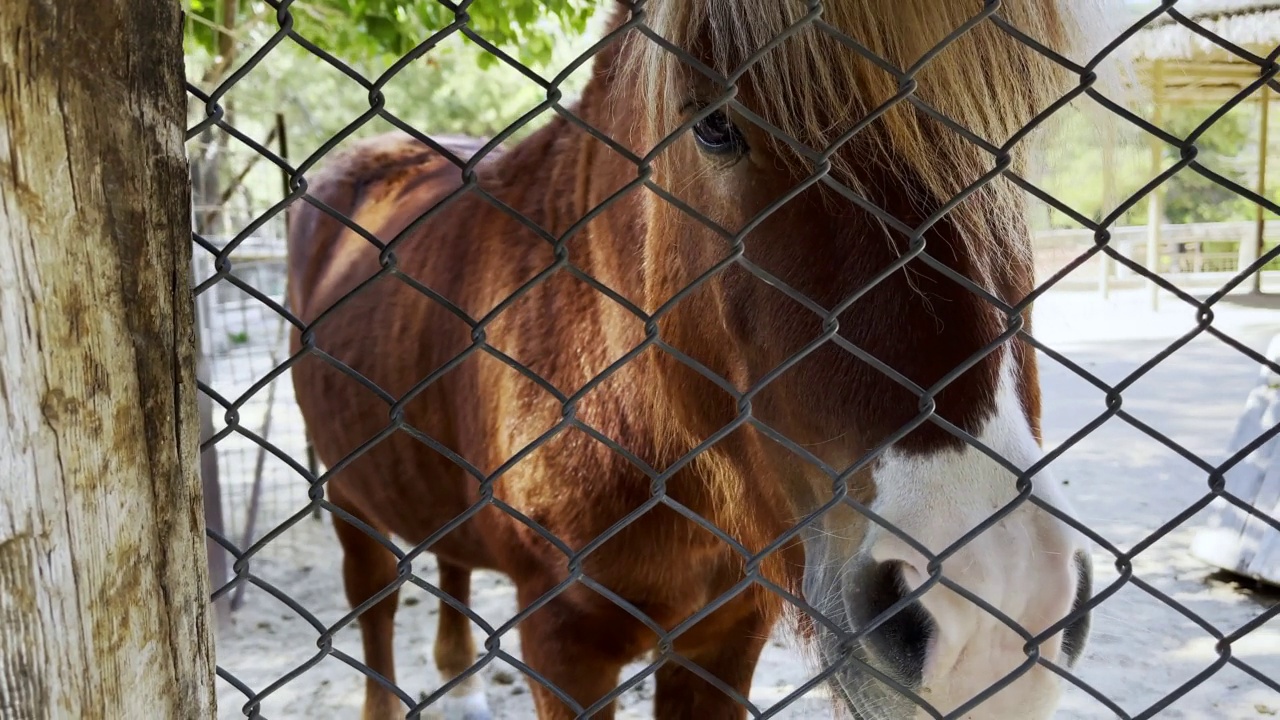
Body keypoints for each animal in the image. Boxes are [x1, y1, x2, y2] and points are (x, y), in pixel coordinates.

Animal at [285, 2, 1105, 712]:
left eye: (1008, 142)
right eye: (715, 125)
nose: (1000, 601)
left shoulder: (724, 641)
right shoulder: (563, 645)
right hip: (350, 502)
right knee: (376, 606)